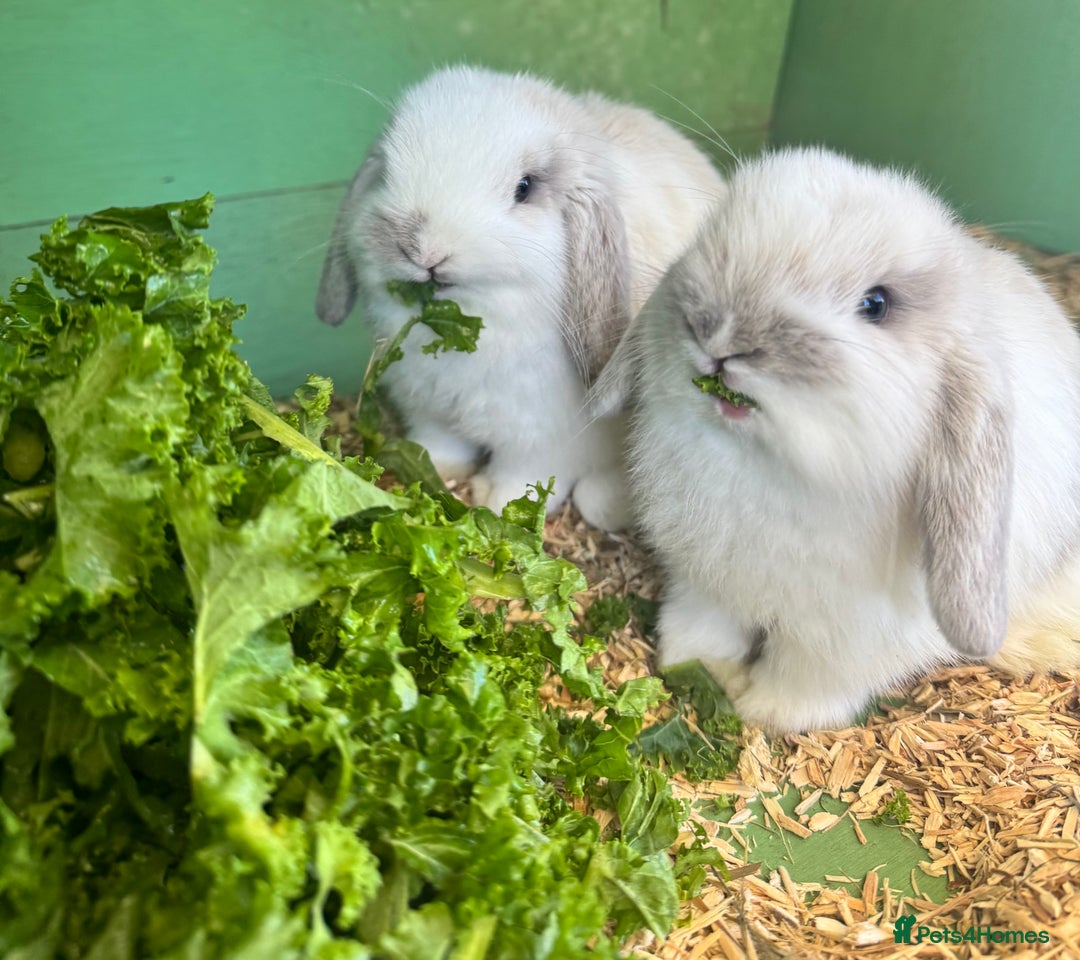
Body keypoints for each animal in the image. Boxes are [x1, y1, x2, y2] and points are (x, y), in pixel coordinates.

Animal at [315, 65, 726, 529]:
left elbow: (523, 476)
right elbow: (440, 444)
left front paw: (497, 502)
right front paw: (438, 468)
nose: (423, 251)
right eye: (385, 173)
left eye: (524, 188)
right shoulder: (430, 411)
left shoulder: (544, 441)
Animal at [594, 146, 1080, 733]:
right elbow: (702, 626)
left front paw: (760, 709)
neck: (760, 468)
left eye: (876, 304)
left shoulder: (841, 642)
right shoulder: (704, 581)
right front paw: (699, 667)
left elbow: (805, 681)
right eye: (713, 234)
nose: (719, 332)